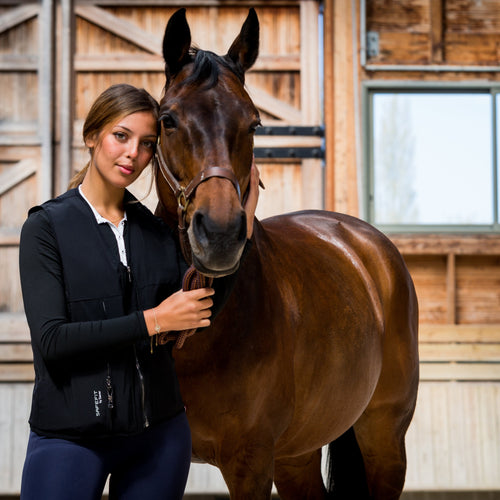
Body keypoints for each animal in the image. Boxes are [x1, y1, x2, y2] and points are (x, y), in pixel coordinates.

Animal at [154, 8, 420, 500]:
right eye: (167, 120)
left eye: (255, 123)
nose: (219, 233)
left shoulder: (250, 463)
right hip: (297, 455)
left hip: (384, 439)